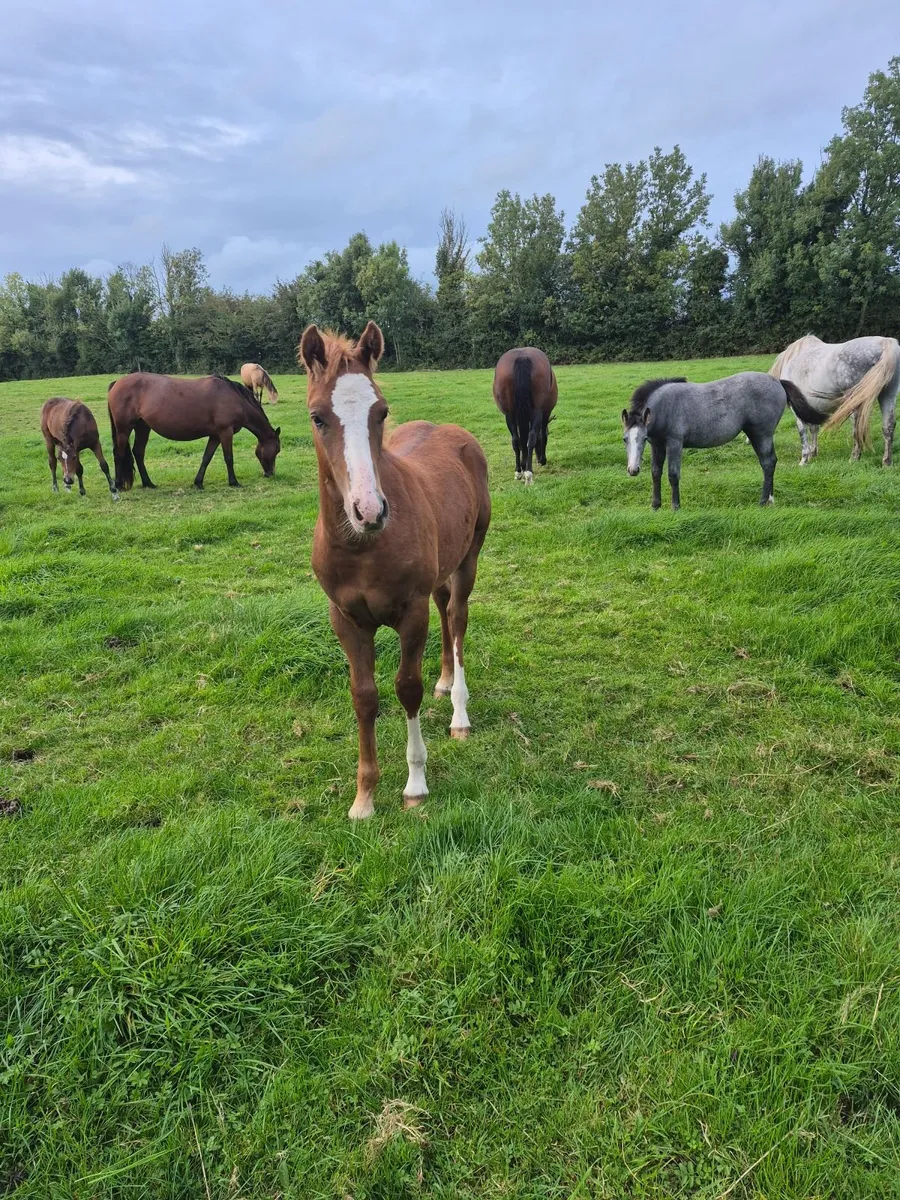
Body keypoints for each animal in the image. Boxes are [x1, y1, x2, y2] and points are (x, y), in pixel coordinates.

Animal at [107, 373, 281, 490]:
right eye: (277, 450)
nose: (270, 474)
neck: (234, 398)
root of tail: (117, 383)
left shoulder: (215, 435)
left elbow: (206, 458)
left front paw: (198, 482)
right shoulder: (225, 432)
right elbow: (229, 458)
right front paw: (234, 482)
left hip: (143, 427)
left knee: (138, 452)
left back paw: (148, 483)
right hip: (124, 429)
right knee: (119, 454)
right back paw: (118, 485)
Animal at [299, 320, 491, 820]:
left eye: (381, 412)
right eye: (317, 417)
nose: (369, 510)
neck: (363, 547)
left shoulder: (410, 612)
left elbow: (407, 688)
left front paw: (415, 785)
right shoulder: (345, 619)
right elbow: (364, 697)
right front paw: (364, 796)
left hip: (469, 558)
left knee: (457, 619)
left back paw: (459, 712)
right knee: (446, 609)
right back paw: (446, 681)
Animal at [492, 347, 557, 484]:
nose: (538, 459)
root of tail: (522, 357)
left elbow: (521, 440)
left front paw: (522, 465)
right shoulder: (545, 414)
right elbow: (542, 436)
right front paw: (542, 460)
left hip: (510, 414)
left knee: (516, 440)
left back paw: (518, 471)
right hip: (537, 412)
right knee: (531, 437)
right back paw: (528, 473)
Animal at [621, 372, 817, 509]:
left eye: (643, 438)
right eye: (625, 439)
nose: (633, 470)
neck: (664, 407)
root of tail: (777, 381)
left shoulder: (674, 444)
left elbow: (673, 475)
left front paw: (675, 506)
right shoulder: (658, 446)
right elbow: (655, 473)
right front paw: (655, 506)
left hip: (762, 434)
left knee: (768, 463)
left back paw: (762, 501)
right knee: (769, 462)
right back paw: (770, 498)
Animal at [769, 334, 900, 466]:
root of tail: (883, 342)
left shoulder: (798, 411)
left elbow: (803, 432)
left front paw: (804, 460)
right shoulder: (811, 408)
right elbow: (813, 429)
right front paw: (812, 454)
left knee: (857, 428)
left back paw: (854, 458)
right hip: (888, 396)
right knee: (888, 426)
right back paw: (887, 462)